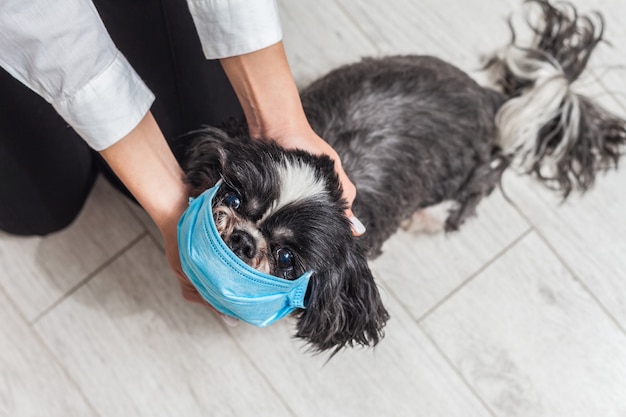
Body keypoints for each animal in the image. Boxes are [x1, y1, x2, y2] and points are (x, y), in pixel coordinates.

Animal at [177, 1, 624, 354]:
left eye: (286, 258)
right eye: (233, 199)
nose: (242, 238)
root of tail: (490, 100)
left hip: (466, 176)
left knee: (471, 196)